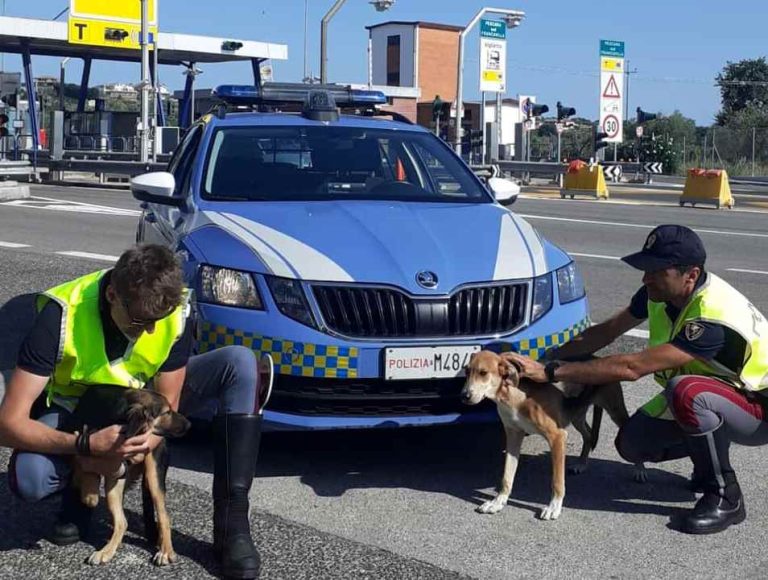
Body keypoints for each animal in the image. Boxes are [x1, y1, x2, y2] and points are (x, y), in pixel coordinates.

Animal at [67, 386, 191, 568]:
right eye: (166, 412)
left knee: (163, 516)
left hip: (153, 476)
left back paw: (166, 551)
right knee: (122, 522)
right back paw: (106, 552)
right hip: (116, 483)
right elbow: (81, 458)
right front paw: (88, 489)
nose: (189, 424)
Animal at [460, 348, 644, 520]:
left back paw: (639, 469)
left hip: (615, 411)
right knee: (589, 435)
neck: (513, 395)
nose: (464, 396)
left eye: (483, 373)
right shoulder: (513, 435)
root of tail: (597, 357)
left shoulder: (557, 437)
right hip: (576, 416)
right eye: (467, 371)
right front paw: (498, 502)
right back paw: (581, 463)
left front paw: (554, 507)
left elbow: (557, 481)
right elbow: (506, 476)